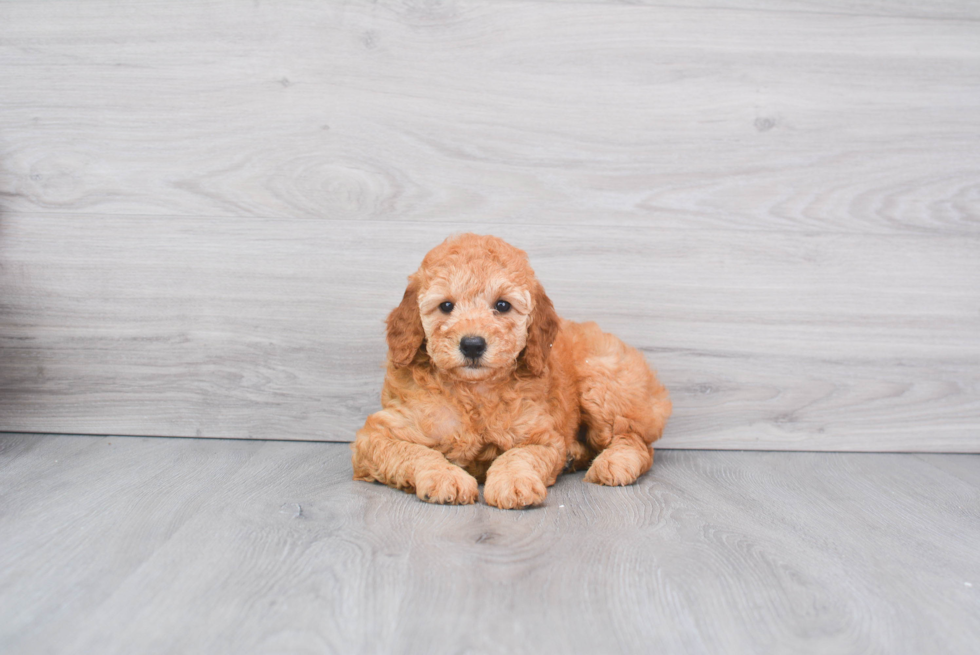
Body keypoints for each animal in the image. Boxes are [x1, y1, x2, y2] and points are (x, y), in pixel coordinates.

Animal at [352, 233, 672, 510]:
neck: (475, 392)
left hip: (602, 383)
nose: (472, 345)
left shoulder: (543, 436)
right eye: (446, 306)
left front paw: (514, 481)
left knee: (636, 441)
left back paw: (614, 462)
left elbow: (519, 455)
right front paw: (445, 476)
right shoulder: (376, 436)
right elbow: (414, 451)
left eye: (502, 305)